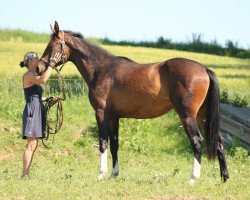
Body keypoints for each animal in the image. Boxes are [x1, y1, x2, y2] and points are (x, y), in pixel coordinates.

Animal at [37, 21, 229, 183]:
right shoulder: (114, 116)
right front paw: (113, 174)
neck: (102, 69)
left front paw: (101, 174)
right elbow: (114, 144)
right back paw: (224, 177)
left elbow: (103, 142)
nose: (39, 67)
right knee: (219, 140)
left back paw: (193, 178)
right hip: (202, 115)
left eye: (51, 45)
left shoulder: (101, 113)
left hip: (187, 115)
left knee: (197, 141)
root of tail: (204, 70)